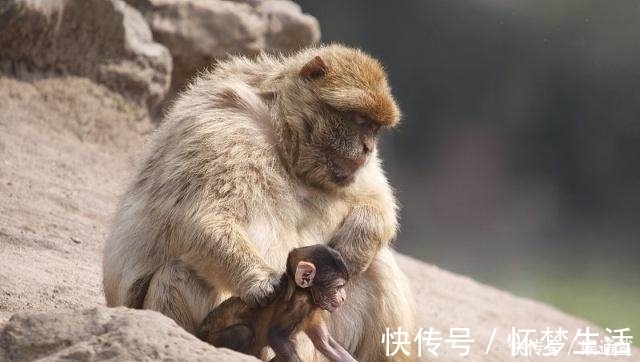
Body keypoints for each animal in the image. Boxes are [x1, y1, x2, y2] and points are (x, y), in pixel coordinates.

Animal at [195, 245, 356, 360]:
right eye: (339, 287)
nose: (343, 297)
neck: (305, 293)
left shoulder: (313, 311)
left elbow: (326, 344)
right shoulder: (299, 304)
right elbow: (276, 336)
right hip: (211, 339)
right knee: (243, 332)